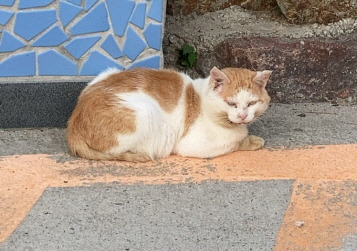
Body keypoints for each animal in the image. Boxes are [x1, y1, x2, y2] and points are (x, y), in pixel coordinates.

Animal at [67, 65, 272, 162]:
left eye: (252, 103)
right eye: (231, 103)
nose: (243, 115)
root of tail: (73, 122)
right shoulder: (194, 145)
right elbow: (233, 143)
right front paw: (252, 141)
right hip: (145, 114)